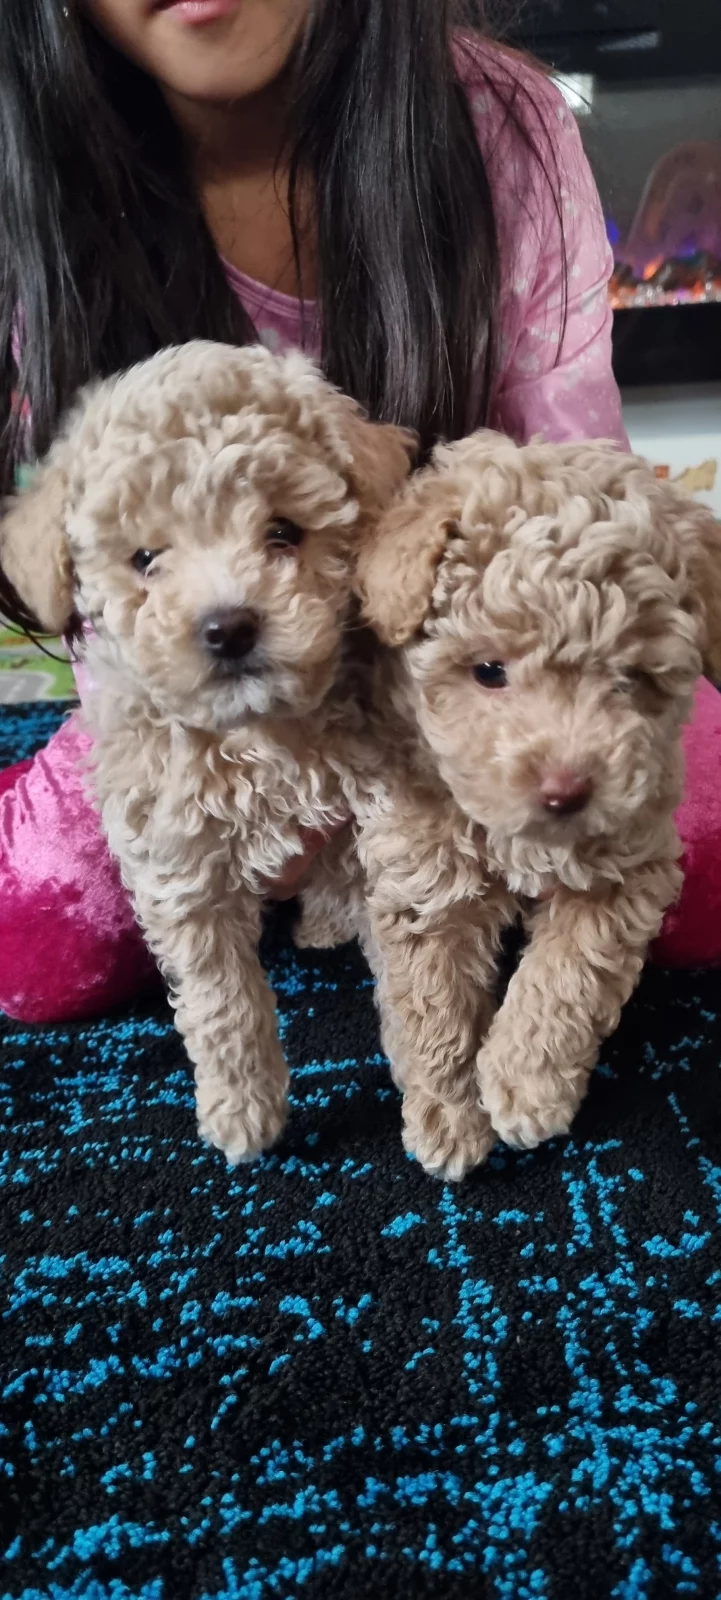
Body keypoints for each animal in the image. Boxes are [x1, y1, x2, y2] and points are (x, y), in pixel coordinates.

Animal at [1, 341, 413, 1163]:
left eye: (284, 531)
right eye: (144, 558)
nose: (229, 627)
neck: (257, 733)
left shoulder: (373, 809)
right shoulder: (176, 860)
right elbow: (222, 1000)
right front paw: (243, 1111)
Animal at [354, 431, 721, 1177]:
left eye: (630, 680)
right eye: (488, 671)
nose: (566, 789)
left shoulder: (627, 861)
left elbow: (570, 973)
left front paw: (525, 1085)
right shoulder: (422, 869)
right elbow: (432, 994)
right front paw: (446, 1112)